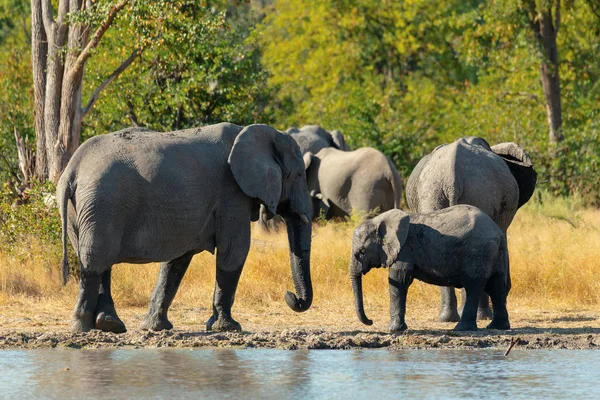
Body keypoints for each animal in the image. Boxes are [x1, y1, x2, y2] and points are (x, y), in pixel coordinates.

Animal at [57, 123, 314, 332]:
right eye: (299, 174)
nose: (290, 295)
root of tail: (73, 169)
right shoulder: (232, 192)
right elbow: (235, 250)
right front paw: (229, 328)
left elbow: (177, 261)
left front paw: (155, 328)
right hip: (102, 202)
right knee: (95, 261)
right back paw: (84, 329)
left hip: (83, 210)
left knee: (98, 261)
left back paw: (110, 326)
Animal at [352, 205, 510, 332]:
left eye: (362, 252)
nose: (371, 321)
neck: (378, 221)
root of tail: (498, 232)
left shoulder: (405, 250)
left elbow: (399, 280)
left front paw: (393, 330)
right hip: (494, 254)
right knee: (496, 286)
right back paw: (497, 327)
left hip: (478, 252)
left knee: (473, 286)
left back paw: (461, 329)